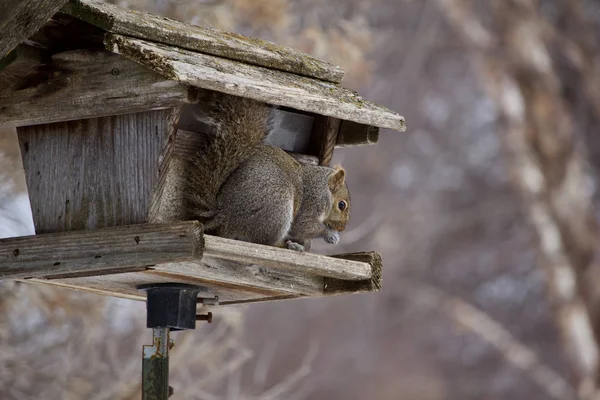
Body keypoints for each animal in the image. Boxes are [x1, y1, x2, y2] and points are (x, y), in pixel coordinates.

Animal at [189, 92, 352, 252]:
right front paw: (330, 234)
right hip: (278, 207)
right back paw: (289, 245)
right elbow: (303, 226)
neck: (323, 188)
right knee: (267, 241)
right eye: (341, 205)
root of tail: (224, 216)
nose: (342, 228)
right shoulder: (313, 203)